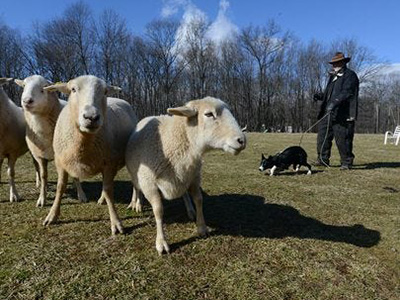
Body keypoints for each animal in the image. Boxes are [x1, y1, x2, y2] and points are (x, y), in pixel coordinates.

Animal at [16, 75, 87, 206]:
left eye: (44, 87)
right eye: (24, 86)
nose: (27, 101)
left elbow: (74, 176)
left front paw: (81, 194)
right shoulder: (39, 155)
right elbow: (44, 175)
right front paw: (42, 198)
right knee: (37, 169)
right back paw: (39, 183)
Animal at [41, 75, 137, 234]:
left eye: (105, 91)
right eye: (73, 89)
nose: (91, 117)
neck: (83, 143)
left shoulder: (108, 163)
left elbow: (109, 190)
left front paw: (116, 222)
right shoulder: (61, 162)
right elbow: (60, 187)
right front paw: (52, 215)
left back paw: (135, 203)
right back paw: (102, 199)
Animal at [125, 97, 245, 254]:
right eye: (208, 114)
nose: (242, 140)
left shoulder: (194, 177)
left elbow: (199, 200)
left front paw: (201, 227)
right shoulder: (149, 184)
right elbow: (158, 210)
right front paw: (161, 242)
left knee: (184, 194)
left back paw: (190, 210)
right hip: (136, 173)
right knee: (136, 187)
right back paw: (136, 203)